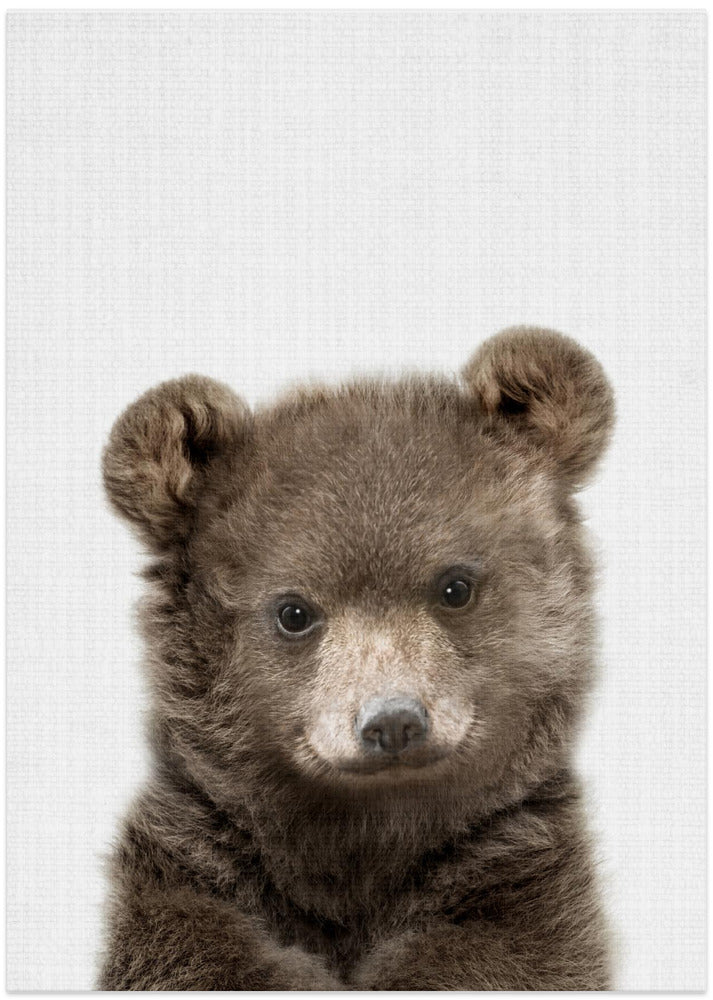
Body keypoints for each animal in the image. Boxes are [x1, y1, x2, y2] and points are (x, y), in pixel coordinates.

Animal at [97, 326, 615, 990]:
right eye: (294, 611)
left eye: (455, 586)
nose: (392, 722)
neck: (364, 840)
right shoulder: (195, 862)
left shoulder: (519, 875)